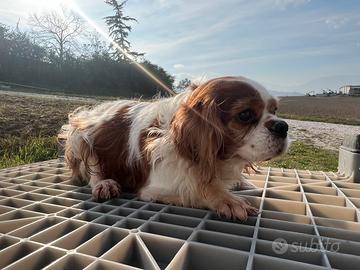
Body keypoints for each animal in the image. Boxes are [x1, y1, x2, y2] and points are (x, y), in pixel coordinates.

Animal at [60, 75, 288, 219]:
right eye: (245, 115)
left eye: (275, 110)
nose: (282, 126)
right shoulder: (157, 186)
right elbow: (197, 190)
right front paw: (227, 200)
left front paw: (237, 184)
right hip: (80, 136)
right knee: (93, 171)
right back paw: (104, 183)